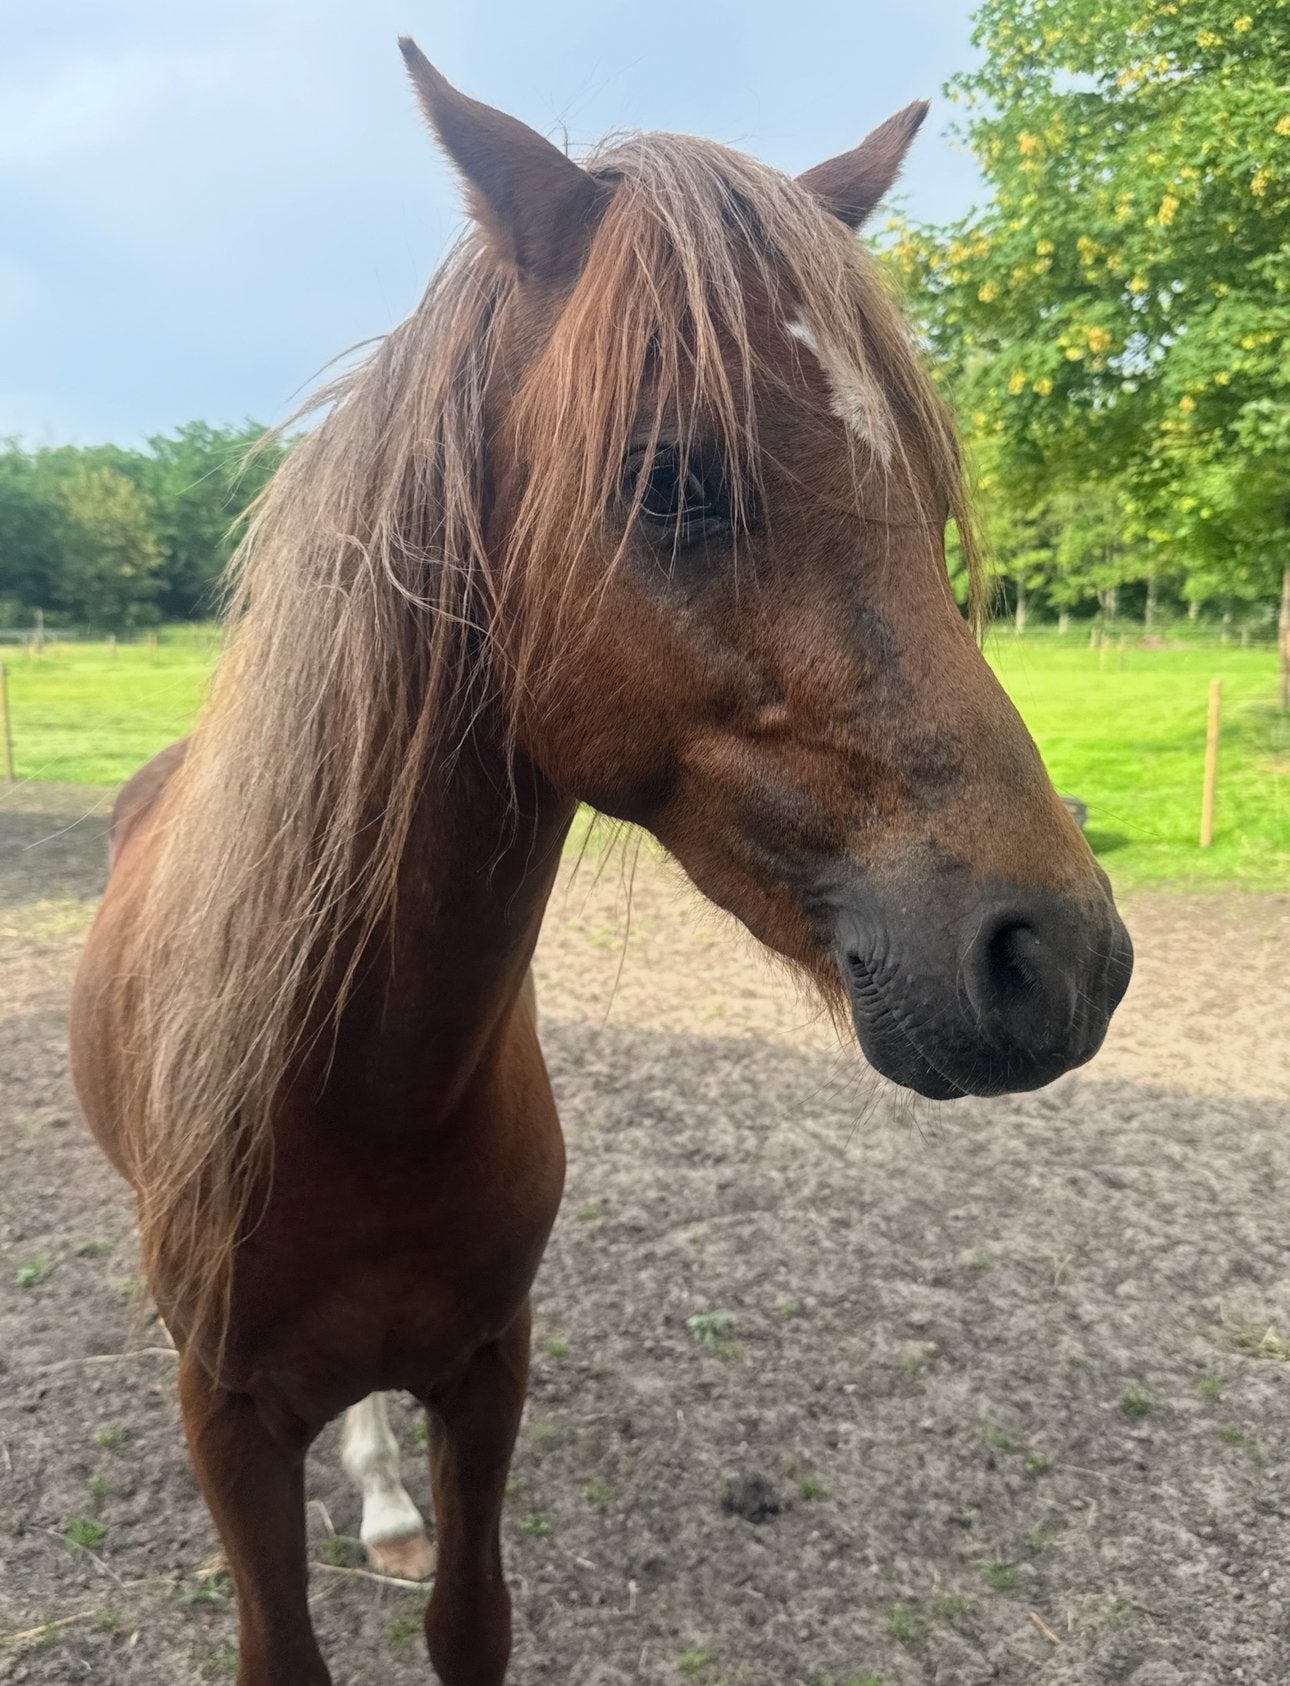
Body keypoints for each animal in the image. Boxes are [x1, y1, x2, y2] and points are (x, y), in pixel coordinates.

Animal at [68, 40, 1133, 1686]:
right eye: (671, 477)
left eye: (916, 477)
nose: (1057, 958)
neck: (365, 1100)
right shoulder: (226, 1418)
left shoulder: (489, 1371)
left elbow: (470, 1622)